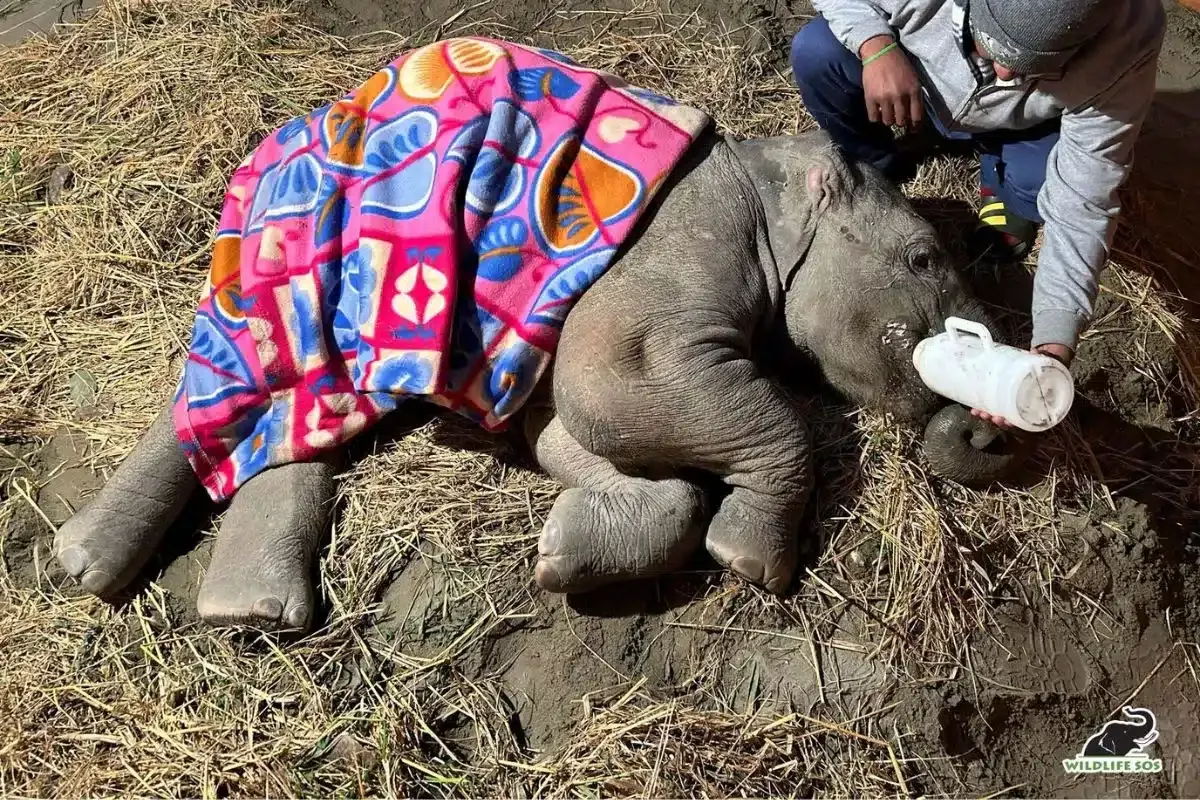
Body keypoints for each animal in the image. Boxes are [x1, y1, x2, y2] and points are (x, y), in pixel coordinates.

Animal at [50, 42, 1025, 632]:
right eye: (925, 258)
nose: (986, 427)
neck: (775, 178)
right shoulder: (682, 245)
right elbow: (613, 384)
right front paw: (749, 563)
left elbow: (568, 429)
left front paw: (561, 558)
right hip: (296, 237)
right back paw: (103, 573)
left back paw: (244, 611)